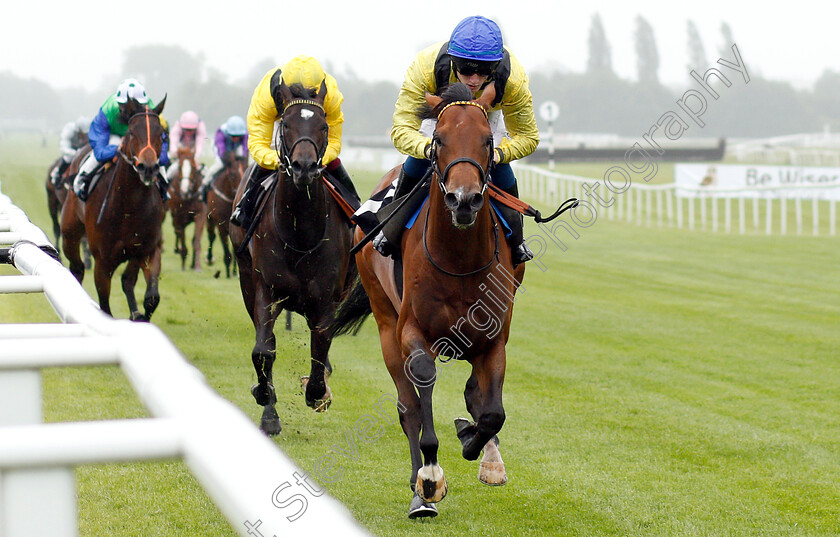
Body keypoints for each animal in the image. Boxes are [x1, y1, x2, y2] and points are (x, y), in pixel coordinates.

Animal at [59, 98, 169, 320]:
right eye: (132, 133)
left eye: (161, 133)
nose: (148, 167)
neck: (128, 207)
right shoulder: (103, 262)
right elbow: (105, 308)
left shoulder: (148, 250)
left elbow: (151, 298)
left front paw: (140, 316)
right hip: (69, 234)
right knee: (77, 267)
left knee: (127, 280)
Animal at [226, 78, 354, 436]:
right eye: (286, 124)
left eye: (323, 126)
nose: (304, 167)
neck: (300, 232)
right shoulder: (266, 291)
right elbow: (263, 350)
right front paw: (267, 406)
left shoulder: (326, 300)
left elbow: (320, 347)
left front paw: (317, 392)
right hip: (246, 280)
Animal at [330, 82, 520, 516]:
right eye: (439, 141)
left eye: (488, 142)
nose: (464, 200)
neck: (458, 260)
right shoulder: (412, 332)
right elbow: (424, 385)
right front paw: (431, 476)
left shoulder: (494, 339)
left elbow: (491, 412)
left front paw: (477, 446)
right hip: (385, 323)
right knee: (408, 408)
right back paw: (420, 490)